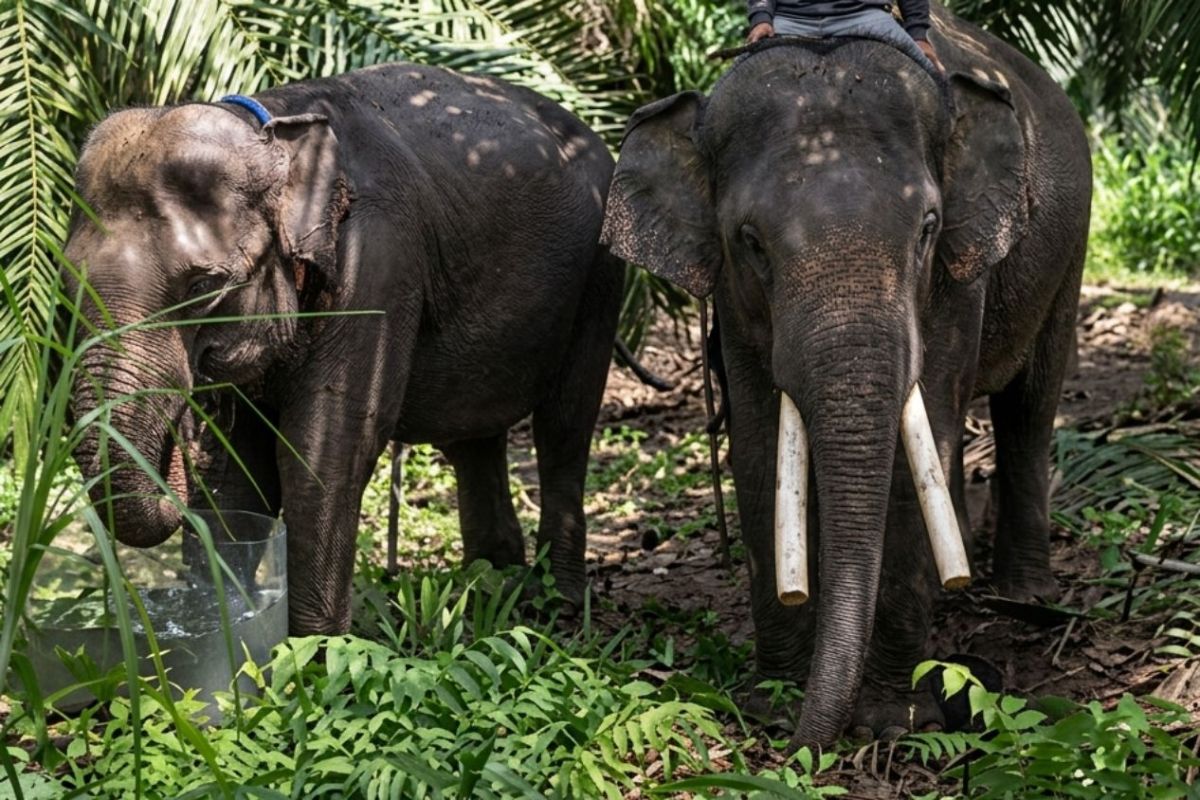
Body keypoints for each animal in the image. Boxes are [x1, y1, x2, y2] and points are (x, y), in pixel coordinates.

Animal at [64, 63, 623, 635]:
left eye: (204, 287)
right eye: (67, 284)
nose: (181, 437)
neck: (274, 130)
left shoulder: (379, 260)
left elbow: (326, 445)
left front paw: (314, 649)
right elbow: (237, 473)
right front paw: (231, 630)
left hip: (600, 275)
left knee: (565, 425)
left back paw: (557, 608)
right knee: (474, 439)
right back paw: (492, 588)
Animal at [601, 6, 1090, 745]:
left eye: (928, 228)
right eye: (750, 241)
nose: (799, 754)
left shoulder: (955, 278)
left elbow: (925, 439)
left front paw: (890, 719)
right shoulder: (734, 301)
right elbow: (758, 451)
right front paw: (775, 703)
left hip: (1069, 248)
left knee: (1029, 409)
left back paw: (1023, 595)